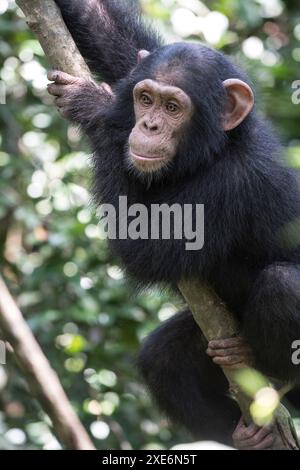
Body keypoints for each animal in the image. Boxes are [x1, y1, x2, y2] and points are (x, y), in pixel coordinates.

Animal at [47, 0, 300, 448]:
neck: (214, 151)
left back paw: (272, 376)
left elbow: (147, 244)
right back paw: (245, 434)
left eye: (172, 108)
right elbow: (116, 42)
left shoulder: (235, 185)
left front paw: (94, 108)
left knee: (284, 284)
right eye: (145, 98)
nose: (147, 125)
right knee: (161, 359)